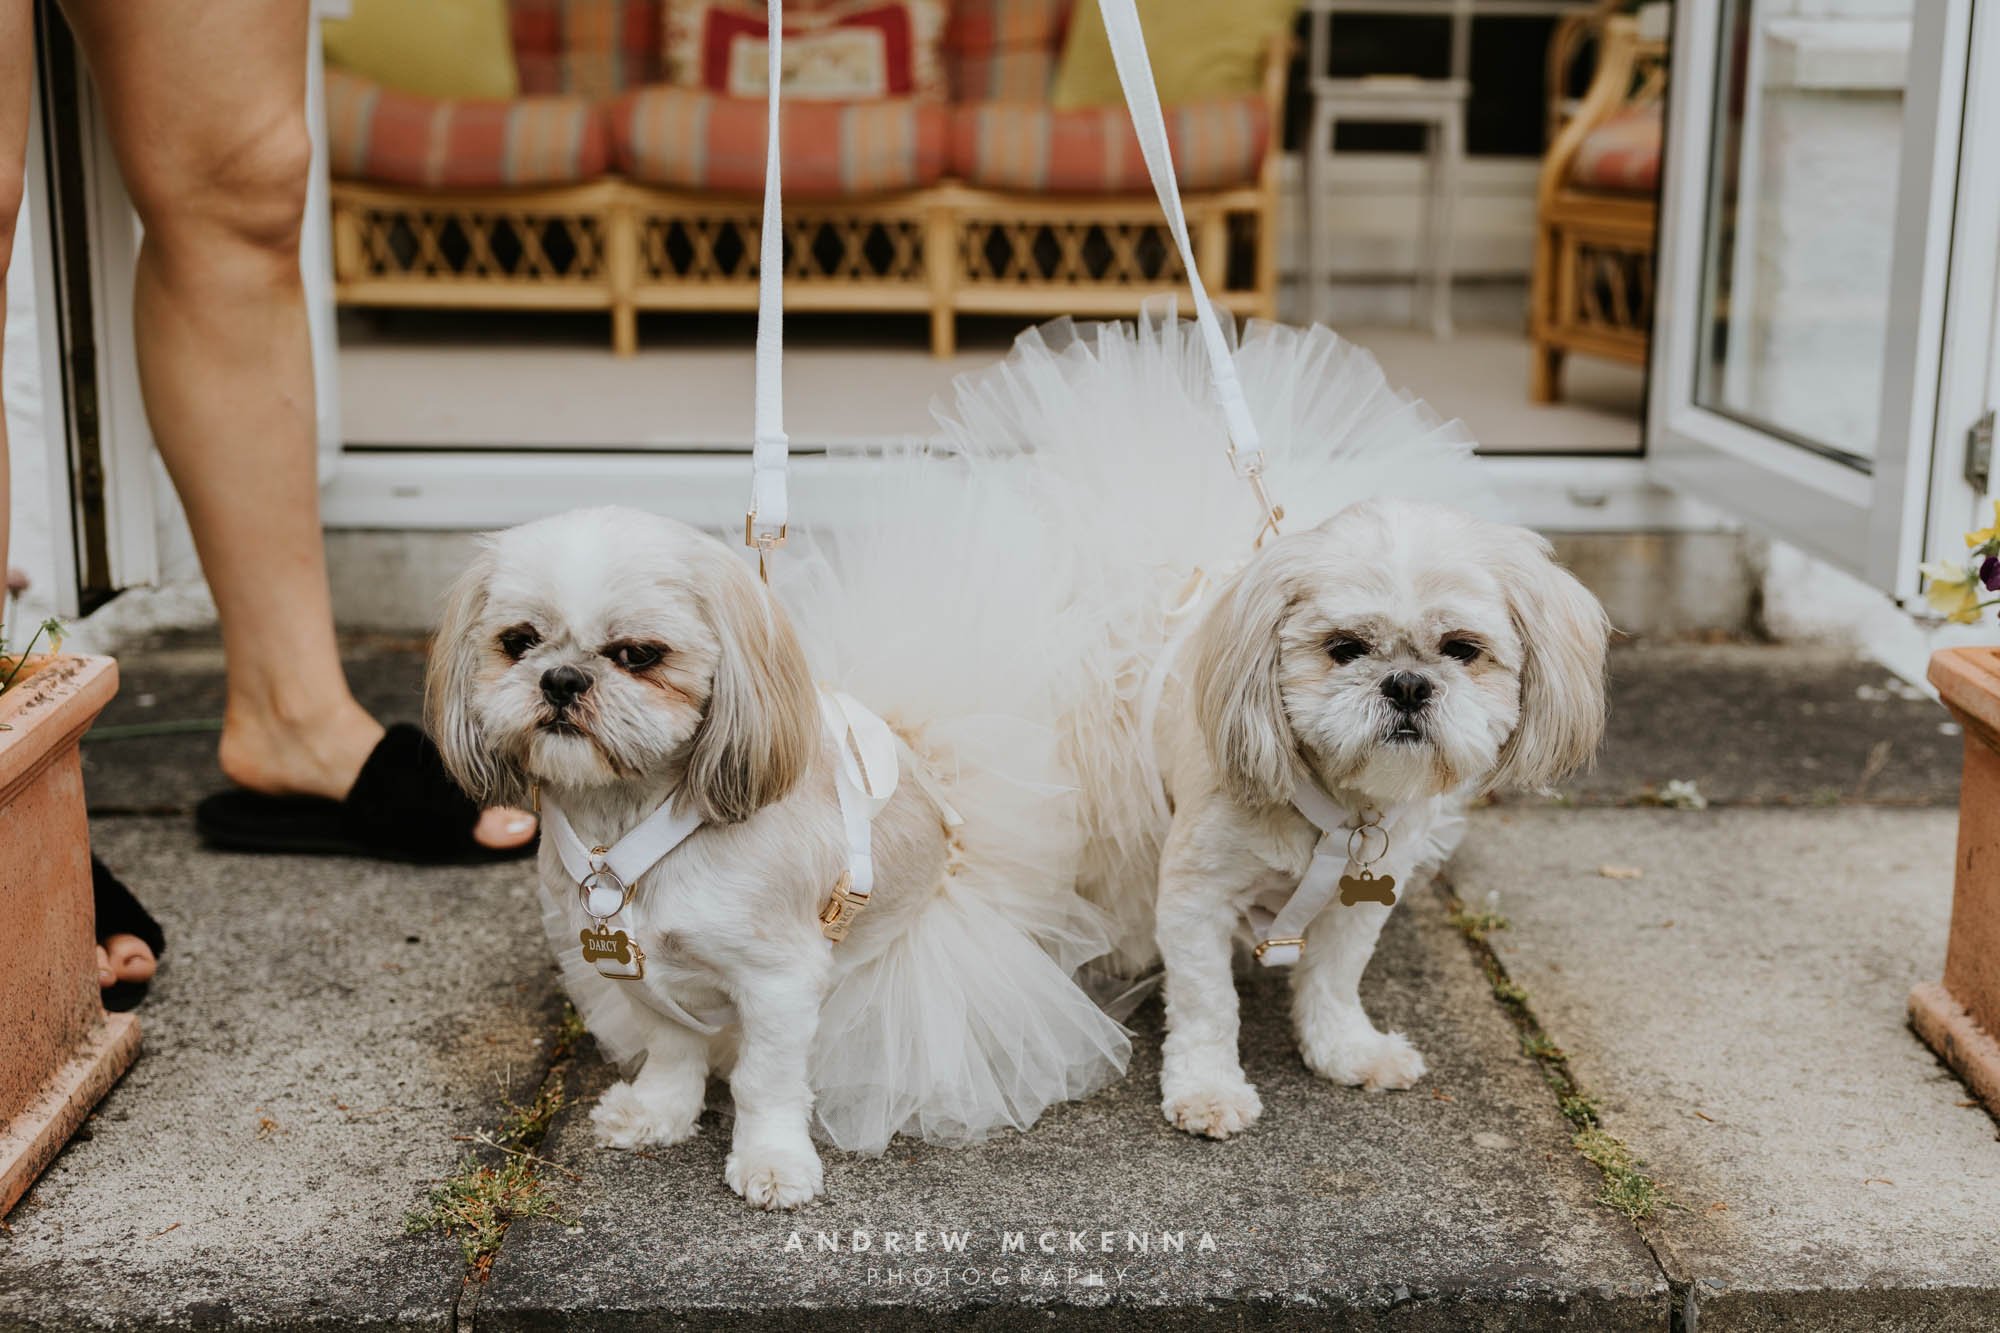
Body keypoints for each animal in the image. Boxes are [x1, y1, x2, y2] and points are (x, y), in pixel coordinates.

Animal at [426, 498, 1128, 1200]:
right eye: (518, 642)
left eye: (638, 655)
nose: (561, 679)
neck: (630, 822)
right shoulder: (637, 970)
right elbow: (671, 1047)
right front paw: (658, 1112)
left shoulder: (778, 979)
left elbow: (762, 1080)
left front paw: (771, 1159)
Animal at [1144, 492, 1608, 1136]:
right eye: (1344, 648)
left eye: (1462, 649)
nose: (1408, 684)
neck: (1342, 806)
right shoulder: (1196, 898)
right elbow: (1207, 1002)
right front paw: (1208, 1088)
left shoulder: (1358, 901)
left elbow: (1335, 978)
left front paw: (1346, 1050)